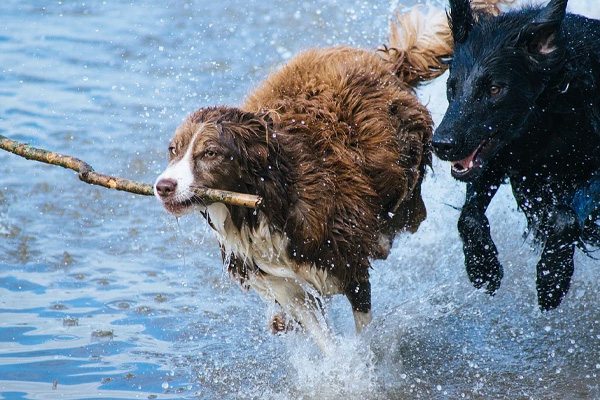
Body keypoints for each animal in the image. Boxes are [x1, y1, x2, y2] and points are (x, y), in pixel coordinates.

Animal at [156, 3, 506, 354]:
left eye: (209, 153)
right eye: (173, 150)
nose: (163, 187)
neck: (265, 201)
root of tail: (387, 63)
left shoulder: (347, 263)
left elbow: (362, 327)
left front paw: (363, 361)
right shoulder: (284, 282)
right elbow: (320, 334)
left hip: (405, 171)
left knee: (406, 210)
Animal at [432, 0, 600, 310]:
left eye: (494, 89)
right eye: (452, 87)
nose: (441, 144)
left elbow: (565, 217)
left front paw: (552, 278)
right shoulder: (499, 158)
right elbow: (468, 217)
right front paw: (483, 267)